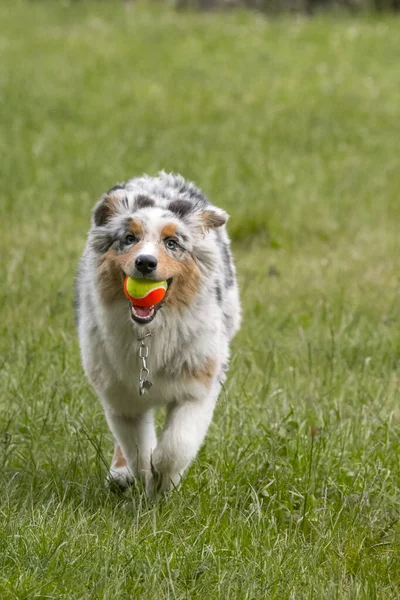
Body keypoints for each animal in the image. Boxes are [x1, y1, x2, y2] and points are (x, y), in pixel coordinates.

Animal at [77, 172, 242, 496]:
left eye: (172, 242)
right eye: (129, 238)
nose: (145, 262)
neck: (149, 333)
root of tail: (156, 177)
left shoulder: (198, 384)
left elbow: (176, 445)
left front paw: (164, 483)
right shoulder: (120, 395)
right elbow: (137, 448)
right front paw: (144, 477)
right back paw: (120, 474)